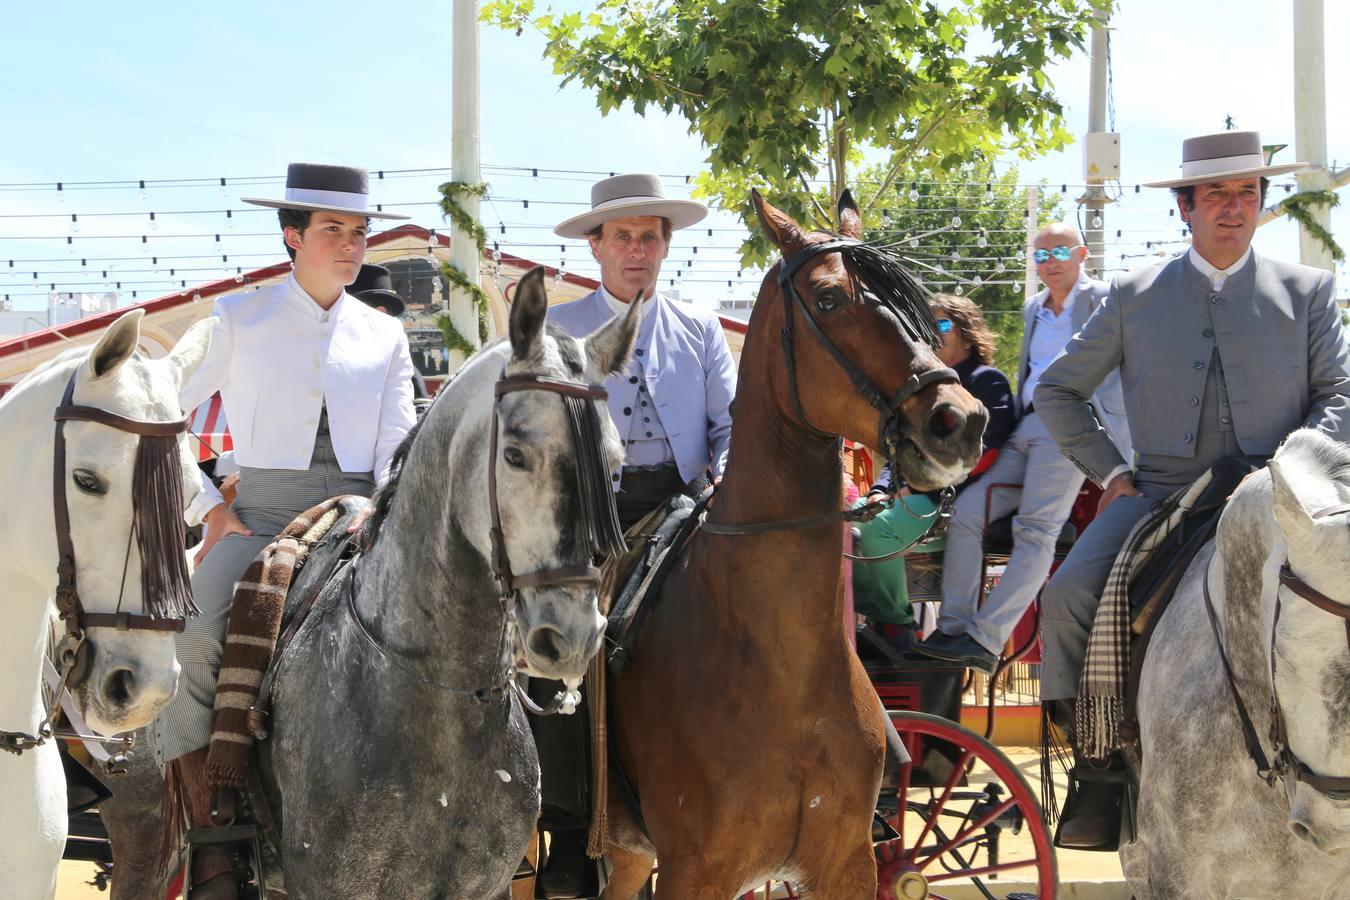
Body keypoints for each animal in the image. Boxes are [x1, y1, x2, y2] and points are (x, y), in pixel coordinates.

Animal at [599, 191, 982, 900]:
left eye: (918, 307)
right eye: (828, 299)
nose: (960, 421)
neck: (786, 676)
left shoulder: (846, 866)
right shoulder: (694, 873)